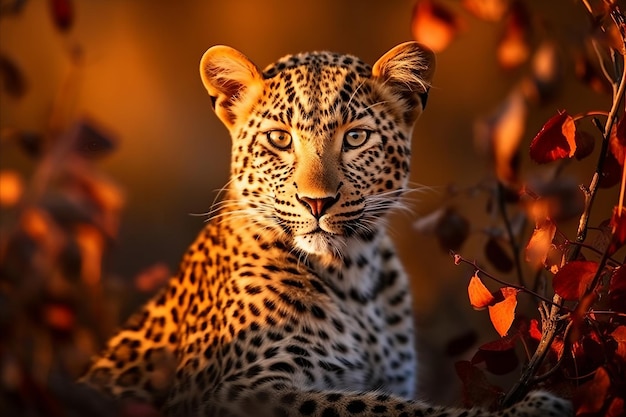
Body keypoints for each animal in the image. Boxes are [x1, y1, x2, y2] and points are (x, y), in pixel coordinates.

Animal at [78, 39, 572, 416]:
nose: (316, 201)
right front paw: (532, 408)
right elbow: (381, 407)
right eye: (279, 138)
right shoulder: (243, 390)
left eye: (355, 137)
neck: (353, 274)